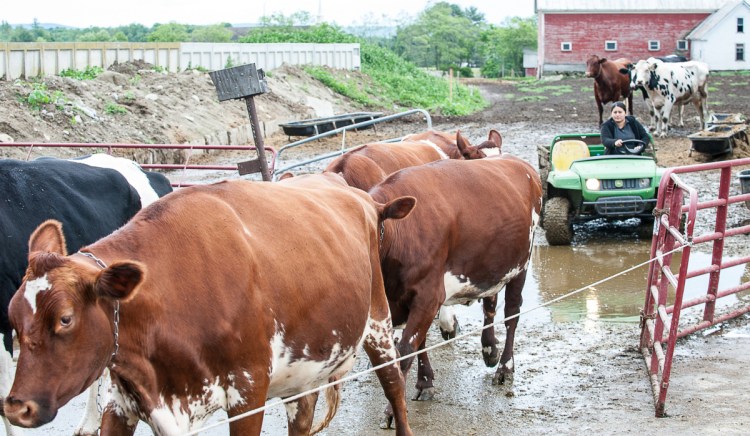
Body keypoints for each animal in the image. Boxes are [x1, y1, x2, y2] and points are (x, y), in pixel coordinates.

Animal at [368, 156, 540, 398]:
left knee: (511, 315)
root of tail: (519, 163)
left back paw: (505, 367)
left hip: (521, 266)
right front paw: (425, 380)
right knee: (490, 305)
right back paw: (489, 350)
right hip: (490, 264)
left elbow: (406, 350)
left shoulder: (428, 296)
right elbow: (419, 343)